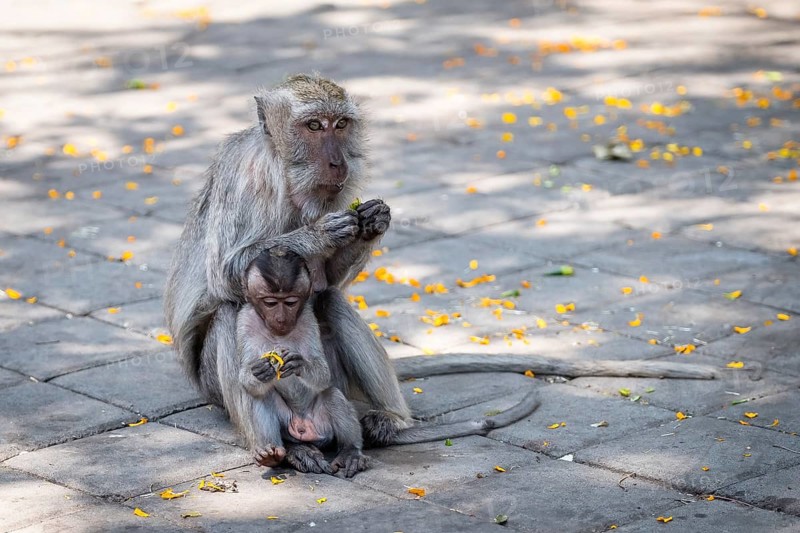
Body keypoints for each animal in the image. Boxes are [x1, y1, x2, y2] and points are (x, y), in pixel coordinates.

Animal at [164, 74, 720, 457]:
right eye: (313, 126)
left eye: (340, 125)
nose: (337, 161)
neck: (284, 169)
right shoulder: (249, 176)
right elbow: (227, 273)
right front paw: (319, 233)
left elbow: (327, 282)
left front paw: (373, 222)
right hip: (222, 391)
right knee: (229, 316)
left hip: (329, 380)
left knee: (332, 304)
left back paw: (392, 423)